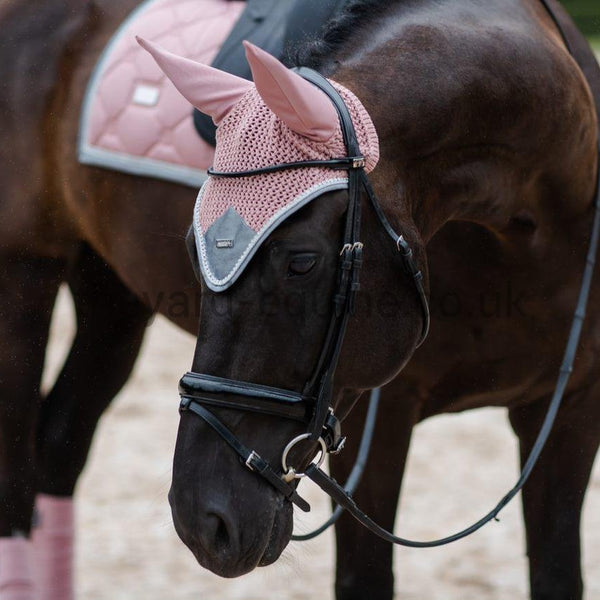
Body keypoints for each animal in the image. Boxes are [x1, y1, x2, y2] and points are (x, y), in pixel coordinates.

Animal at [0, 1, 596, 600]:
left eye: (302, 262)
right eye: (195, 248)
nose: (203, 521)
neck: (529, 229)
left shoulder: (567, 412)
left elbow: (557, 573)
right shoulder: (378, 418)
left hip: (113, 298)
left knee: (59, 447)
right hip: (27, 274)